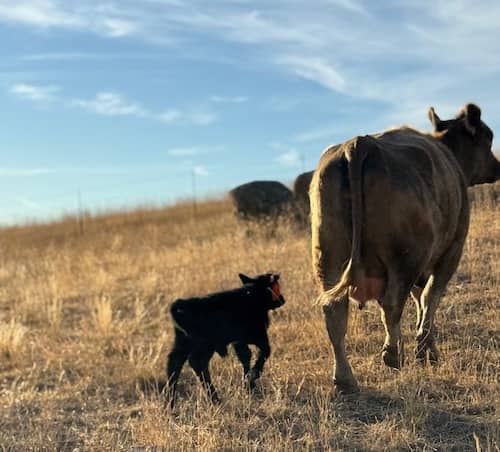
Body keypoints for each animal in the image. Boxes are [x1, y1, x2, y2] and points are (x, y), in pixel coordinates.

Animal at [166, 274, 286, 404]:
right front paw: (254, 376)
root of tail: (180, 306)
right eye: (276, 287)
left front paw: (248, 385)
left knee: (175, 363)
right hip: (205, 345)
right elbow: (265, 351)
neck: (252, 295)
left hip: (184, 344)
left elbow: (246, 357)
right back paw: (214, 398)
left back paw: (171, 400)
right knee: (197, 363)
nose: (282, 299)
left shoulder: (239, 341)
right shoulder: (258, 336)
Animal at [310, 104, 498, 394]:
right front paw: (426, 351)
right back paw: (393, 354)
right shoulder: (451, 251)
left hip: (328, 258)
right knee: (391, 304)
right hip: (405, 258)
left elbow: (420, 299)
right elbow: (431, 298)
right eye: (488, 137)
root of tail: (361, 143)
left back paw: (345, 380)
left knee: (335, 313)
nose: (497, 167)